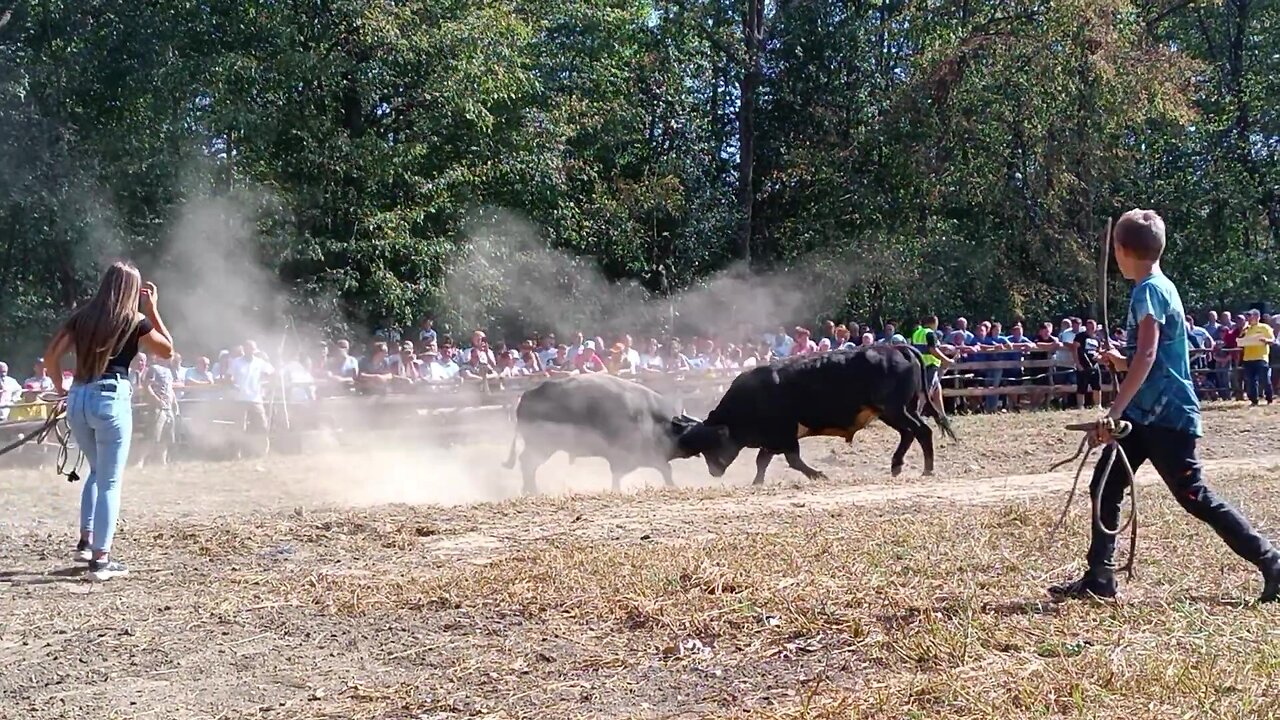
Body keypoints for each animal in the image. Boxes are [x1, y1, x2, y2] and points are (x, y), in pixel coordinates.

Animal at [501, 368, 701, 491]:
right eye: (692, 430)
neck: (651, 419)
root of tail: (527, 396)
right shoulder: (630, 457)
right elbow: (666, 471)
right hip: (542, 446)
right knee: (527, 463)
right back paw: (532, 490)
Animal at [675, 343, 957, 481]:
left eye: (711, 445)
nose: (713, 472)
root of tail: (898, 348)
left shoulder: (784, 434)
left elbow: (792, 460)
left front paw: (818, 474)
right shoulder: (772, 439)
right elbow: (762, 461)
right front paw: (757, 482)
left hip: (895, 409)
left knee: (922, 431)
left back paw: (927, 469)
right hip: (898, 411)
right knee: (910, 433)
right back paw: (897, 465)